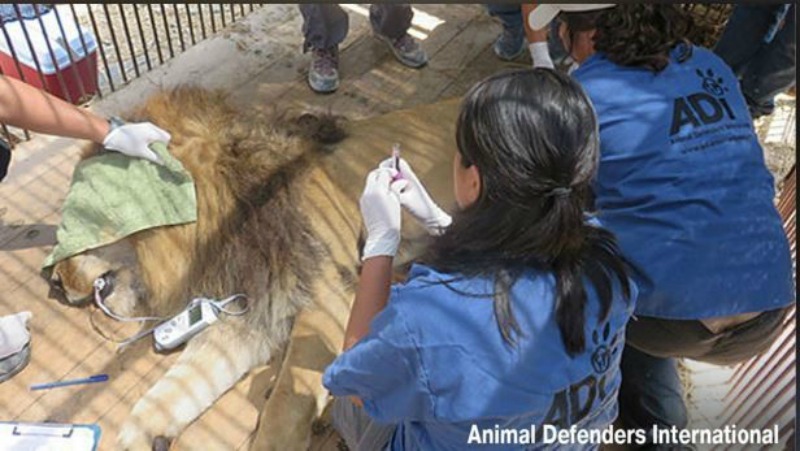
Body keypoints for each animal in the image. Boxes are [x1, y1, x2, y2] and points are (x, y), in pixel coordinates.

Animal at [48, 86, 462, 450]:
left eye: (74, 220)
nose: (53, 283)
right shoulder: (247, 312)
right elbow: (171, 390)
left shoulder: (329, 299)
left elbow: (285, 403)